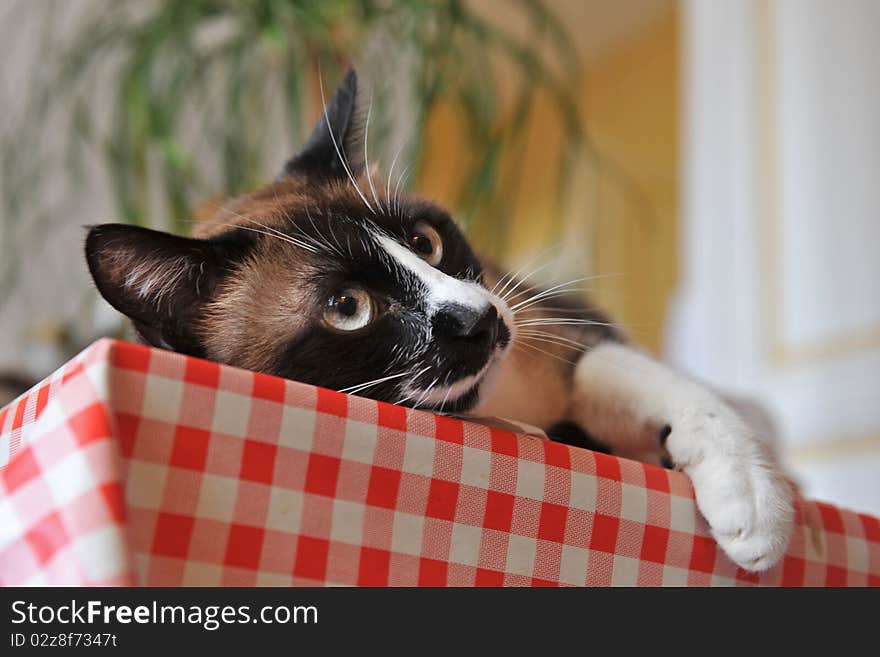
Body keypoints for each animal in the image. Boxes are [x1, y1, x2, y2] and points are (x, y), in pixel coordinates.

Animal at [86, 70, 796, 568]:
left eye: (425, 242)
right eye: (347, 307)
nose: (480, 320)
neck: (499, 407)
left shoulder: (560, 336)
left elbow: (658, 386)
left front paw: (754, 504)